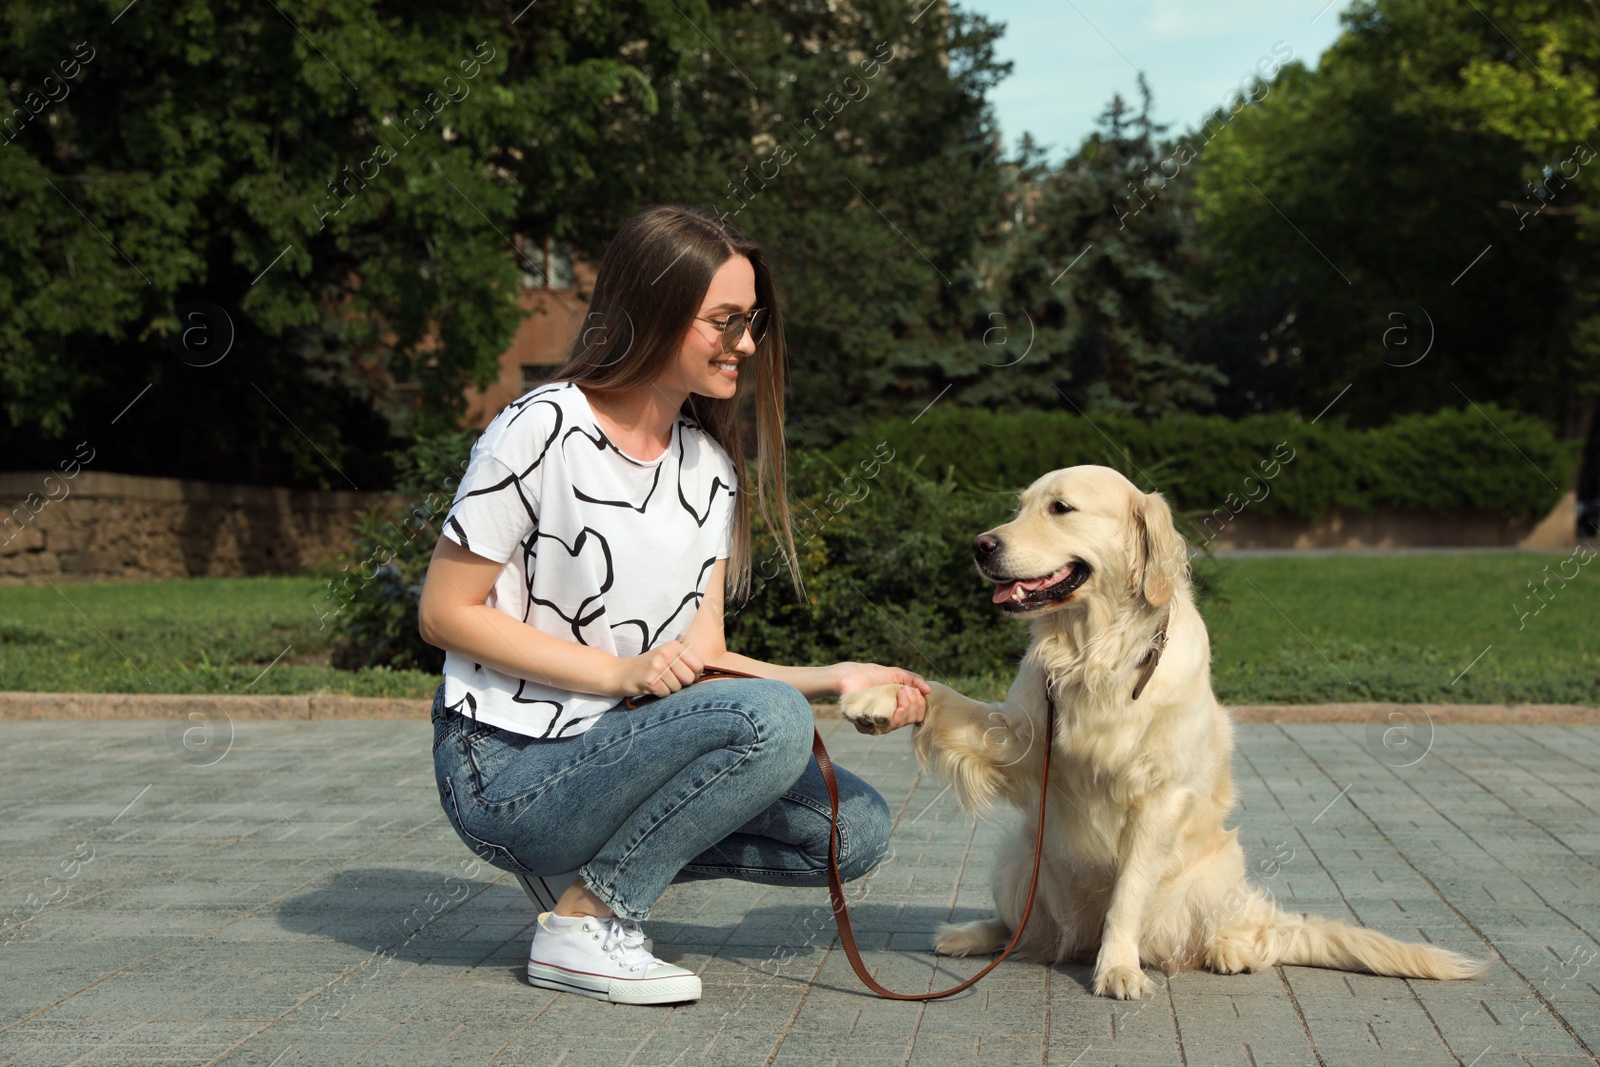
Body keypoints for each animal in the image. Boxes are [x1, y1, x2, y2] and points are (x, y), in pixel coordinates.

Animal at [844, 463, 1478, 1004]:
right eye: (1019, 506)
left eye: (1061, 508)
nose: (980, 545)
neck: (1096, 653)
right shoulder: (1020, 740)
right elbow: (943, 694)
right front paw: (880, 695)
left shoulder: (1160, 796)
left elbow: (1127, 895)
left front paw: (1118, 970)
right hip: (1020, 856)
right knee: (1025, 929)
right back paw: (973, 934)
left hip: (1217, 873)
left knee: (1255, 933)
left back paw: (1228, 950)